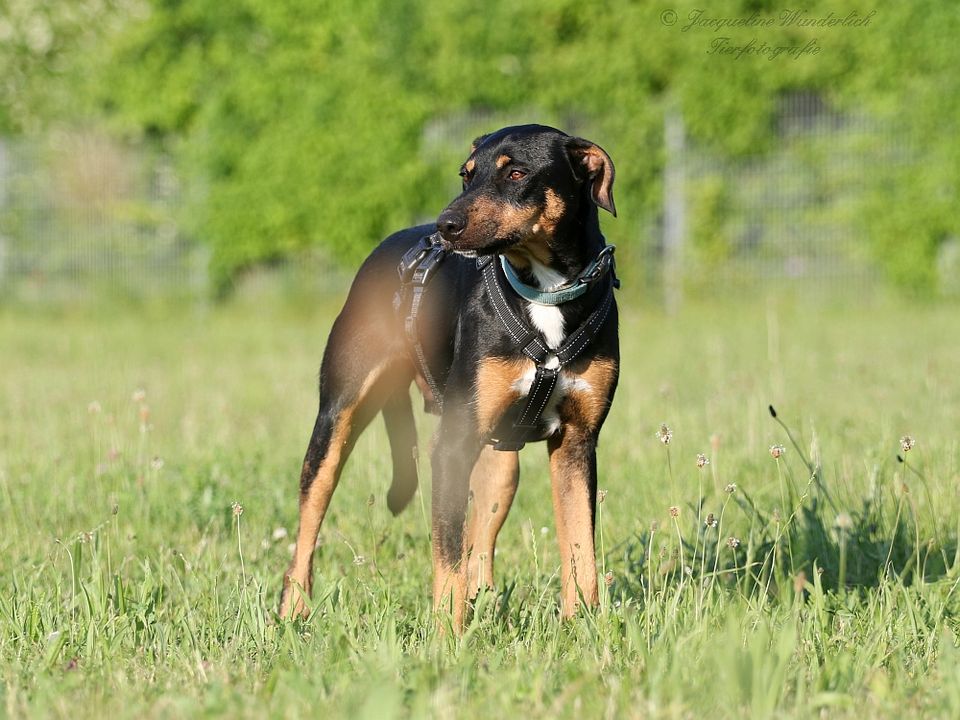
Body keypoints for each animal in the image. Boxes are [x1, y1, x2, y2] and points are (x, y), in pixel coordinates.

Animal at [282, 124, 620, 632]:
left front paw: (581, 627)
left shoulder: (578, 442)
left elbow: (581, 550)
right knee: (307, 526)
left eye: (516, 173)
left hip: (501, 462)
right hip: (337, 418)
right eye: (467, 175)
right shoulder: (452, 445)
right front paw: (447, 638)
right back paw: (292, 611)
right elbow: (447, 559)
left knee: (481, 544)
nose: (446, 226)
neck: (544, 291)